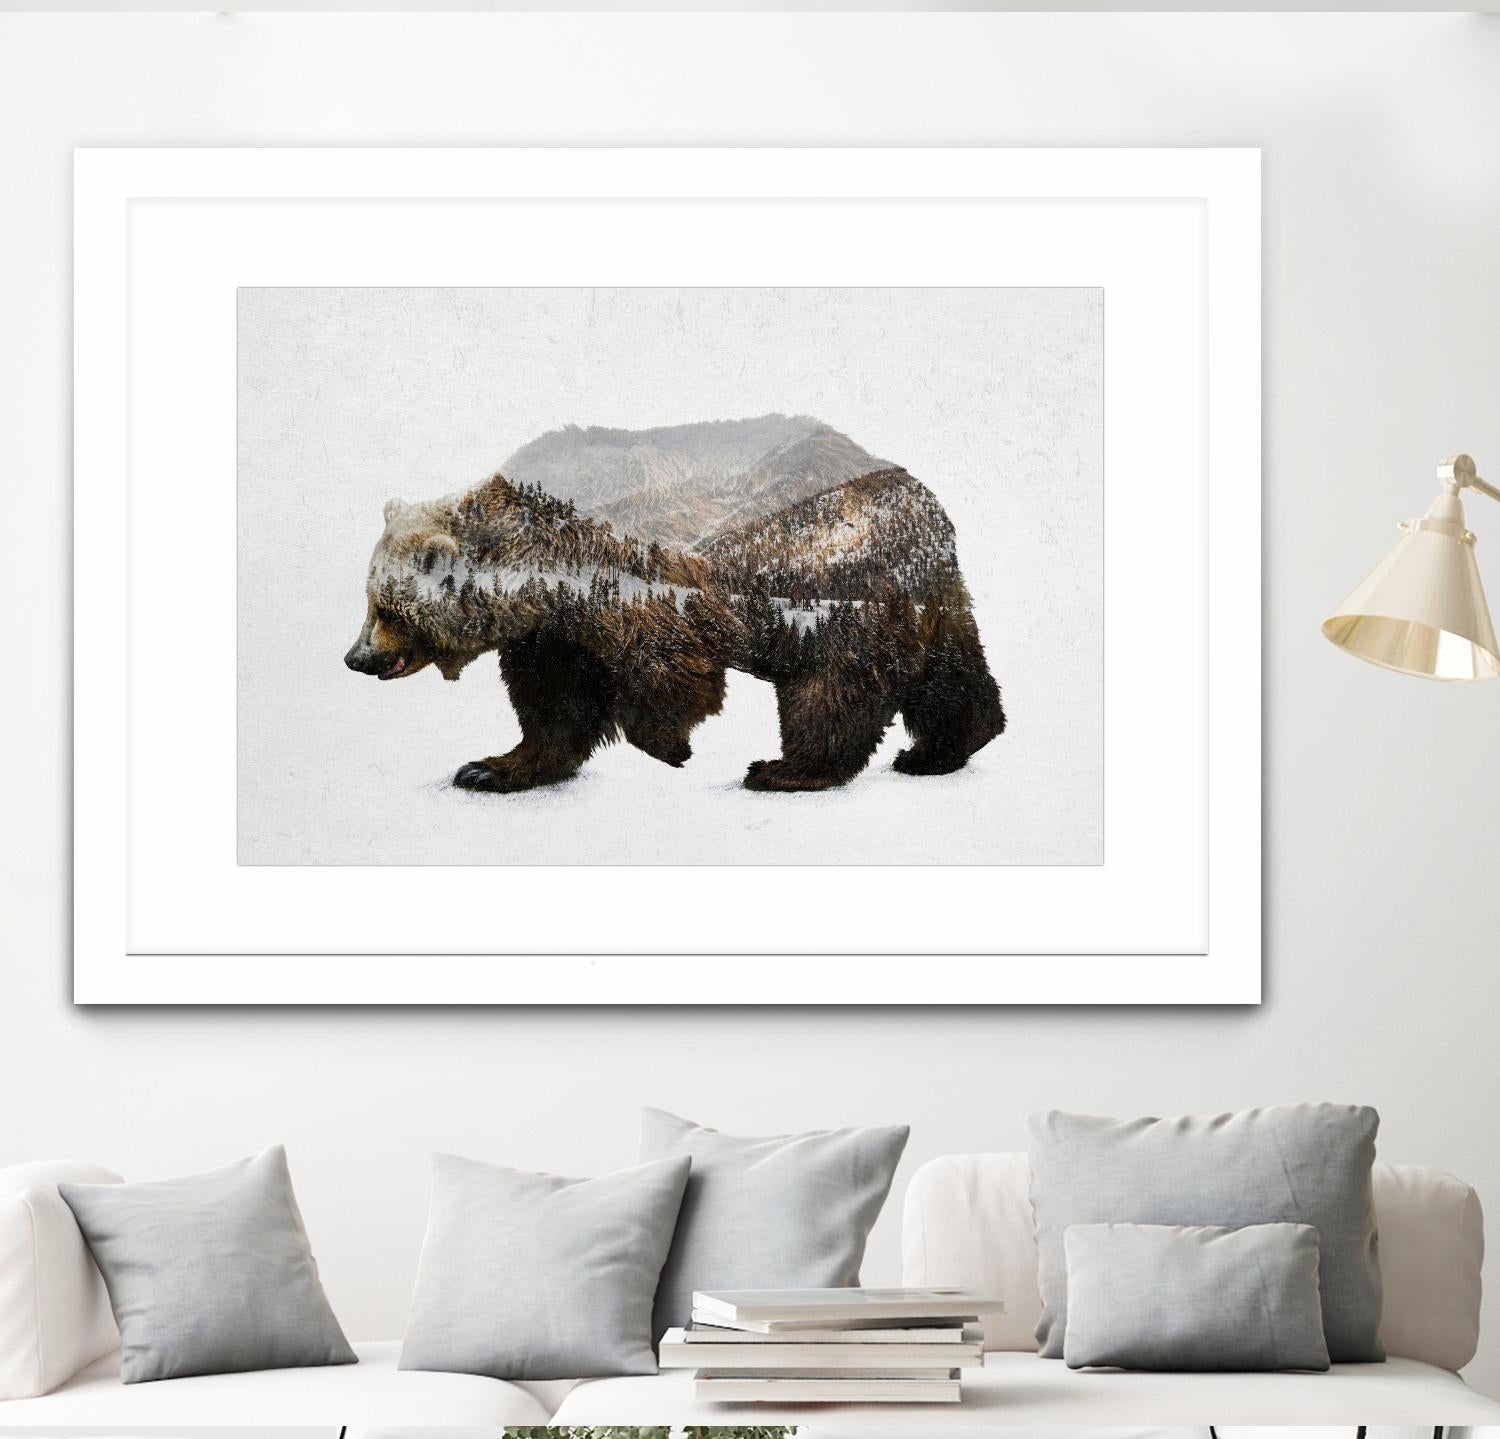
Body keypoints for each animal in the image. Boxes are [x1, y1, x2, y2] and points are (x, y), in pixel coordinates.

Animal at [343, 415, 1005, 793]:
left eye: (388, 609)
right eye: (369, 601)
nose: (355, 658)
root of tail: (927, 507)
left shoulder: (634, 580)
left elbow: (666, 671)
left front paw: (671, 747)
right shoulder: (554, 626)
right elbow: (553, 700)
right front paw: (490, 768)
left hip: (825, 572)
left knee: (832, 683)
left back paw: (786, 770)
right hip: (923, 598)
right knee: (951, 673)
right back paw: (940, 750)